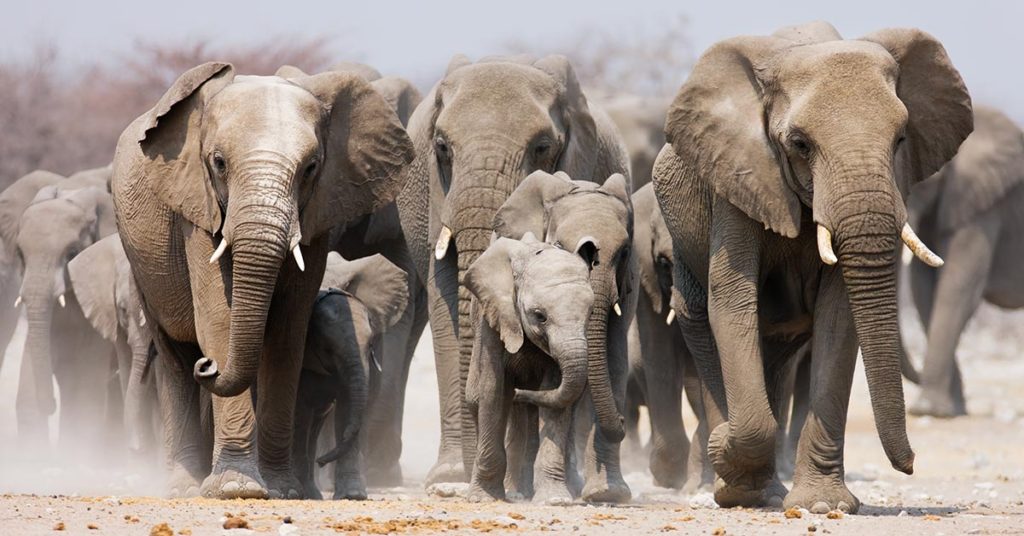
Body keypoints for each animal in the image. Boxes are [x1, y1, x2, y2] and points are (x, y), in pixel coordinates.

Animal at [293, 252, 408, 500]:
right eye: (326, 348)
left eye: (371, 343)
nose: (322, 461)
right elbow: (299, 410)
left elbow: (348, 407)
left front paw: (352, 495)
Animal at [463, 235, 594, 503]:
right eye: (539, 316)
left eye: (591, 313)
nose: (519, 392)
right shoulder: (493, 318)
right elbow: (493, 391)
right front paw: (483, 498)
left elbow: (555, 400)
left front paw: (555, 500)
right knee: (475, 399)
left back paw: (520, 491)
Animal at [492, 170, 636, 502]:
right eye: (558, 244)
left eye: (624, 252)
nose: (623, 422)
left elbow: (614, 359)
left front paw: (607, 494)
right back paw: (518, 490)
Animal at [651, 21, 972, 513]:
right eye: (800, 145)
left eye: (901, 139)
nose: (911, 465)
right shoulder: (737, 178)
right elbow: (733, 302)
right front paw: (728, 461)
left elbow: (839, 318)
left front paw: (822, 505)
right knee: (706, 328)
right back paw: (738, 484)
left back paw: (763, 489)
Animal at [900, 106, 1024, 417]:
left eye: (923, 179)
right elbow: (924, 289)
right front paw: (947, 410)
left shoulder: (983, 208)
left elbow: (957, 287)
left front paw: (931, 411)